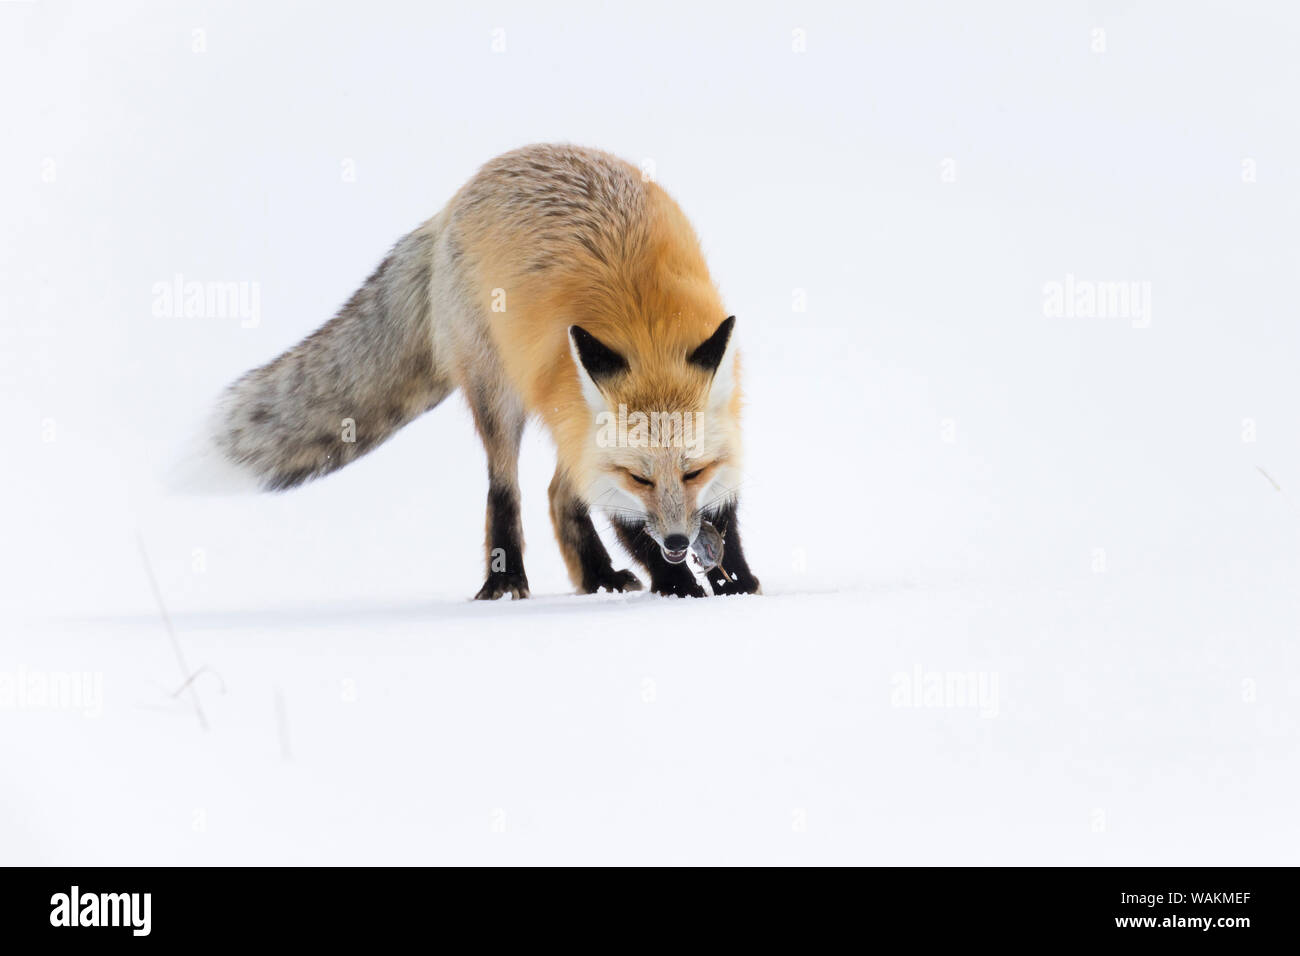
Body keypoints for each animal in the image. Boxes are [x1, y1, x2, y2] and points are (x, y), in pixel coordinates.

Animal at [207, 143, 760, 600]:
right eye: (639, 478)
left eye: (693, 471)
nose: (677, 541)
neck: (649, 336)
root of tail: (462, 192)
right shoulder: (600, 458)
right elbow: (625, 520)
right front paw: (677, 586)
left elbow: (722, 513)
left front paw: (735, 581)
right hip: (501, 397)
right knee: (506, 489)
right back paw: (506, 579)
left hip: (563, 418)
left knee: (558, 495)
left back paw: (598, 577)